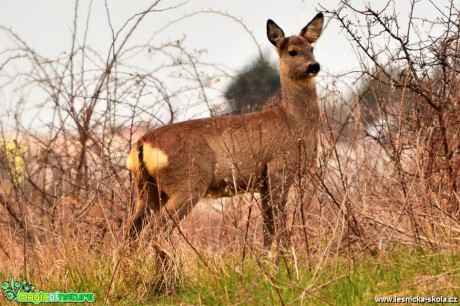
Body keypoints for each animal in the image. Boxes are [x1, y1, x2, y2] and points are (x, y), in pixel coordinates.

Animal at [126, 13, 324, 249]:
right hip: (187, 184)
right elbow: (279, 225)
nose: (314, 66)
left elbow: (268, 230)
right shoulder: (279, 168)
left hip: (147, 189)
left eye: (312, 48)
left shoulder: (263, 183)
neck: (293, 122)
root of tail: (142, 144)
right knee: (155, 230)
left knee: (131, 231)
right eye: (292, 51)